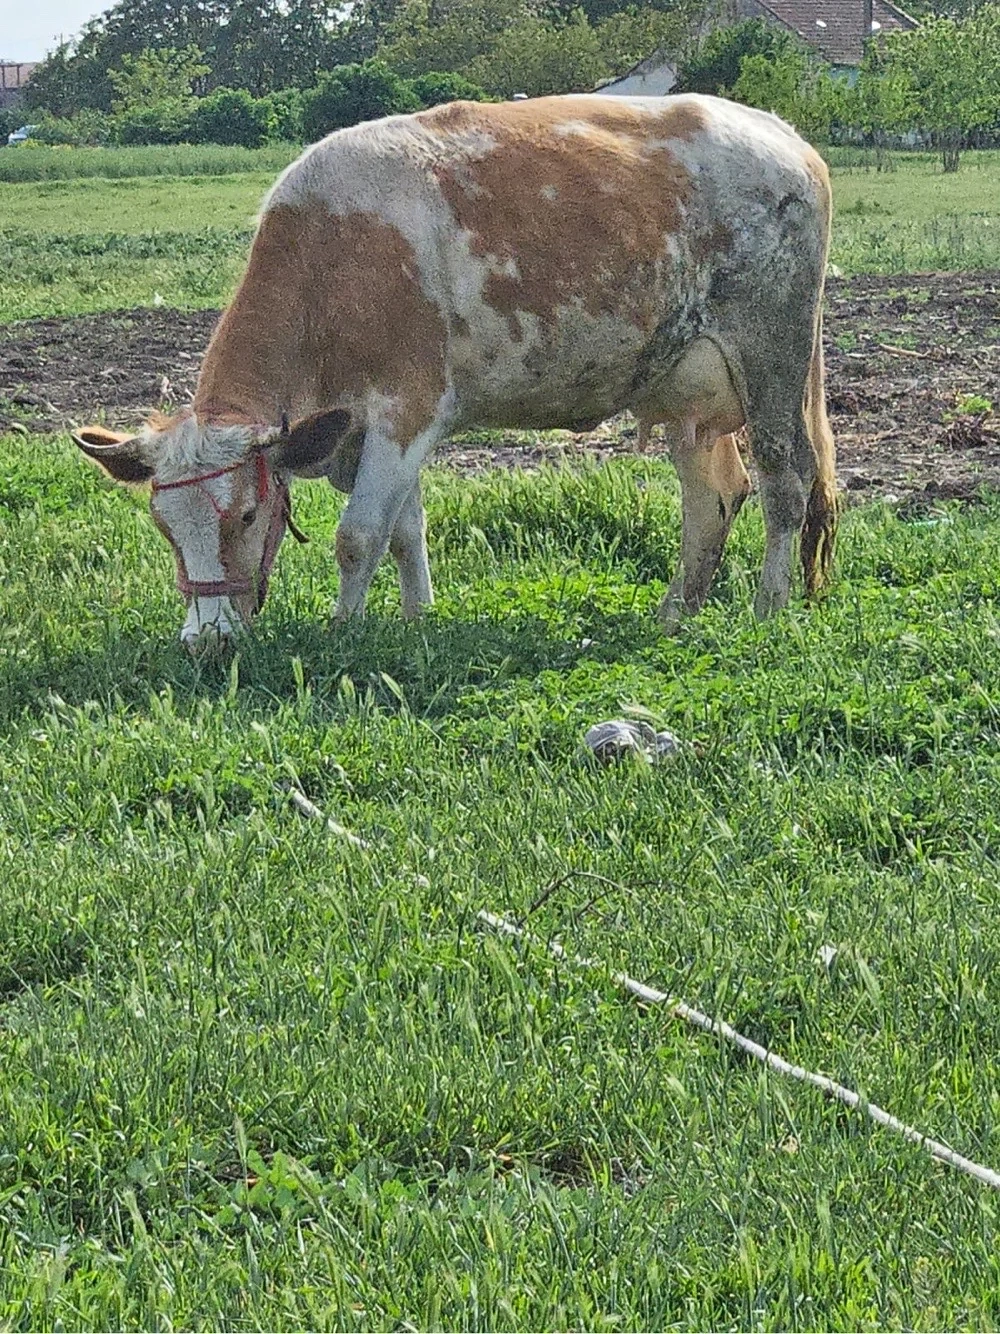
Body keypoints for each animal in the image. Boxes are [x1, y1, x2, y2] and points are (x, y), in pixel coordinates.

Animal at [72, 93, 837, 648]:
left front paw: (342, 632)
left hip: (773, 356)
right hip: (687, 389)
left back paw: (768, 608)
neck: (334, 258)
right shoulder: (369, 430)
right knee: (714, 495)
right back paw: (676, 611)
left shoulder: (405, 411)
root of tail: (783, 133)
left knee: (784, 482)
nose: (206, 640)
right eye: (165, 526)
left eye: (249, 514)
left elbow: (358, 536)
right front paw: (417, 620)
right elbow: (403, 530)